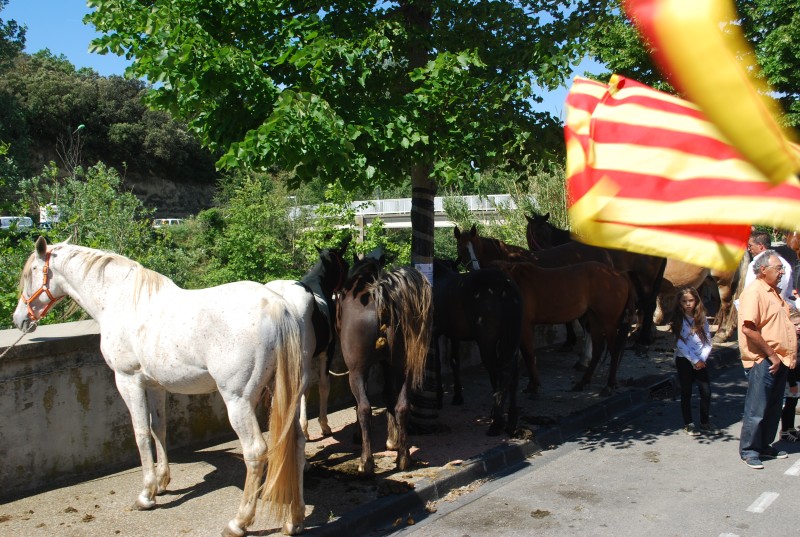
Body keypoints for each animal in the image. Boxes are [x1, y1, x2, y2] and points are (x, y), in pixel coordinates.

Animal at [16, 238, 310, 536]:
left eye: (29, 274)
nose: (20, 320)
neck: (120, 301)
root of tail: (278, 307)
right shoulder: (155, 385)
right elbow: (159, 429)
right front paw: (161, 481)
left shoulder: (127, 380)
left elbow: (141, 433)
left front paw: (146, 495)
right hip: (284, 394)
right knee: (296, 442)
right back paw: (294, 519)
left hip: (238, 400)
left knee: (255, 451)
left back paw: (239, 522)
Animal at [338, 253, 438, 476]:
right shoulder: (387, 365)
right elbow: (388, 396)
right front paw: (393, 441)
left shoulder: (361, 369)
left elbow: (362, 403)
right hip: (403, 366)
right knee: (402, 405)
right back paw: (404, 457)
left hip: (356, 372)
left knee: (364, 408)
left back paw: (366, 462)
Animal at [490, 260, 636, 394]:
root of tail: (619, 274)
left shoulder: (525, 325)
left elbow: (529, 354)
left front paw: (533, 386)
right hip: (595, 319)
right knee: (598, 350)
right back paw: (583, 382)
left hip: (609, 322)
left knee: (614, 350)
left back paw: (609, 385)